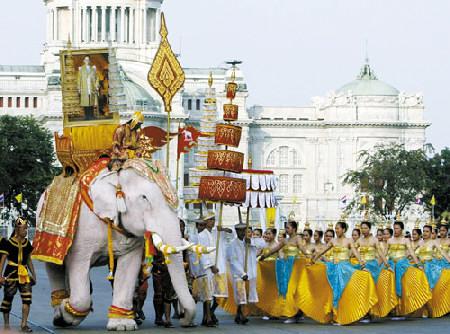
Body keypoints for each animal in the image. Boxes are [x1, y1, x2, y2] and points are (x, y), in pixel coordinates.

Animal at [36, 164, 195, 328]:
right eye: (144, 198)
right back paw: (59, 314)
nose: (183, 319)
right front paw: (66, 315)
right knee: (54, 267)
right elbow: (79, 265)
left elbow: (128, 268)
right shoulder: (82, 234)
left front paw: (122, 325)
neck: (115, 176)